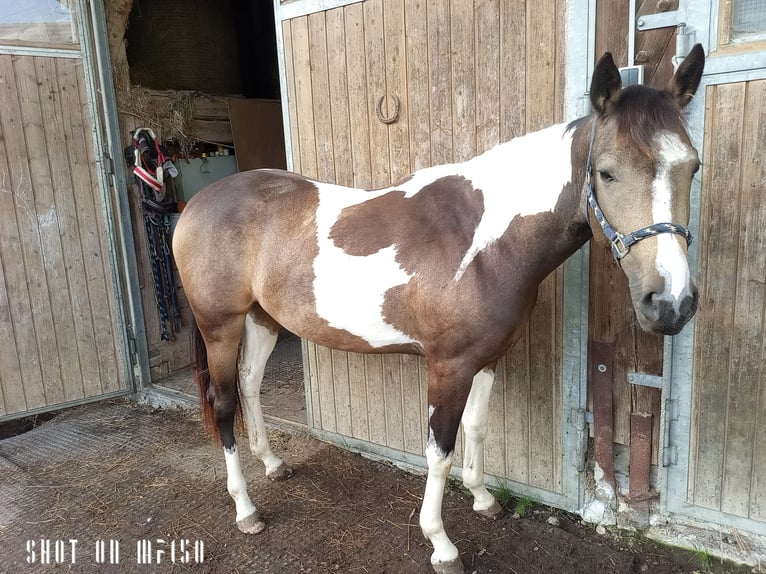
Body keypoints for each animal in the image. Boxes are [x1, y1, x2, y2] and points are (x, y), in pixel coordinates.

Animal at [172, 46, 708, 574]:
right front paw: (441, 543)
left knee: (249, 385)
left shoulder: (485, 359)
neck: (484, 242)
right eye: (607, 171)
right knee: (223, 403)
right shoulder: (447, 366)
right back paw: (245, 508)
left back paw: (273, 464)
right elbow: (440, 451)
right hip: (220, 326)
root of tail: (197, 204)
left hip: (262, 319)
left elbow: (476, 428)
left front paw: (483, 499)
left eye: (693, 167)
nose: (671, 303)